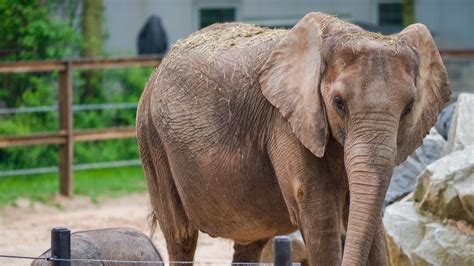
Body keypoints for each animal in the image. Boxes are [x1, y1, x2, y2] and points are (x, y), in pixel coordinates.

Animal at [137, 11, 452, 264]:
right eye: (338, 103)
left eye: (408, 108)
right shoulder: (285, 121)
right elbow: (319, 214)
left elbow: (367, 218)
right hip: (152, 138)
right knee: (181, 235)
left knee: (250, 243)